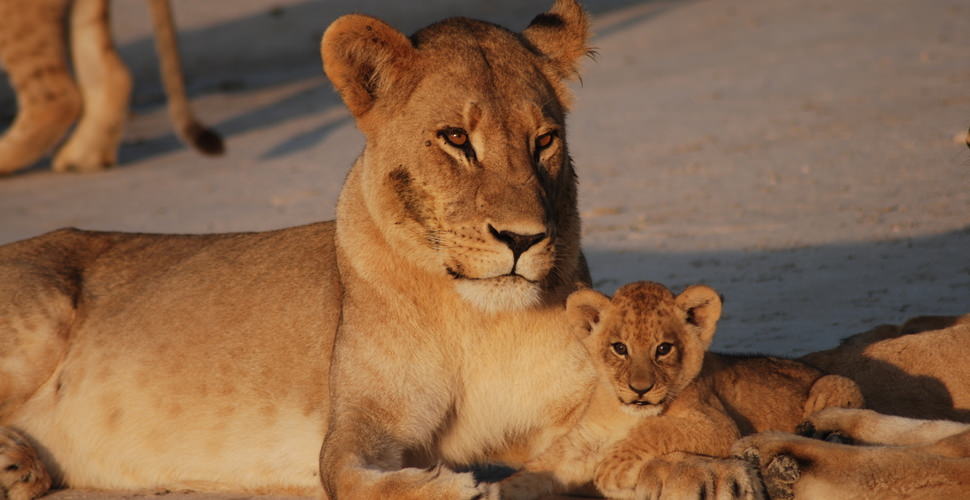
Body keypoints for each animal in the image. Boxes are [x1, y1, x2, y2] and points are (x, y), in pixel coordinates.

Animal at [499, 282, 863, 500]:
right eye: (619, 348)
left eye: (663, 349)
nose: (640, 389)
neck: (621, 413)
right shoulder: (581, 444)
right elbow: (536, 471)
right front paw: (494, 490)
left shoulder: (719, 426)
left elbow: (656, 427)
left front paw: (613, 468)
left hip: (838, 383)